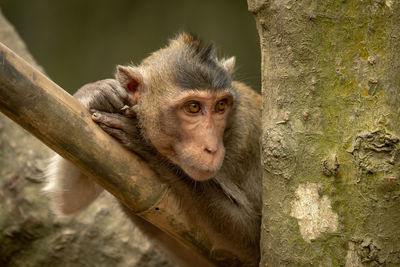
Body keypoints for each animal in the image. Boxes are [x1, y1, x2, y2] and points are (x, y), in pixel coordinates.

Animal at [43, 34, 262, 267]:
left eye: (221, 106)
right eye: (193, 107)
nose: (211, 148)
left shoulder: (246, 141)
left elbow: (254, 239)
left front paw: (143, 142)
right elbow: (70, 199)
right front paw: (95, 92)